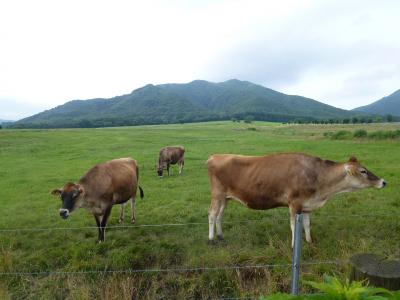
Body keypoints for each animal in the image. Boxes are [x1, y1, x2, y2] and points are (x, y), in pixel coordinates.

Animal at [206, 154, 384, 245]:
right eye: (363, 171)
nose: (383, 181)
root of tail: (215, 156)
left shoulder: (306, 205)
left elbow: (306, 224)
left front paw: (309, 242)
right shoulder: (294, 204)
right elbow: (293, 226)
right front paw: (294, 245)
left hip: (226, 197)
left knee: (220, 215)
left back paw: (220, 236)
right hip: (217, 194)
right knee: (212, 214)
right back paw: (211, 239)